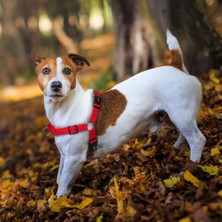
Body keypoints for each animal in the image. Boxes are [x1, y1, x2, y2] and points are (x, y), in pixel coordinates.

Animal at [34, 30, 206, 196]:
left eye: (67, 70)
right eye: (45, 70)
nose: (56, 85)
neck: (65, 108)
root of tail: (175, 67)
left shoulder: (73, 158)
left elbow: (63, 183)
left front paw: (59, 200)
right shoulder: (65, 156)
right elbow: (59, 177)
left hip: (180, 115)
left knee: (197, 140)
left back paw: (190, 168)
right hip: (173, 116)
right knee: (184, 135)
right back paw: (176, 148)